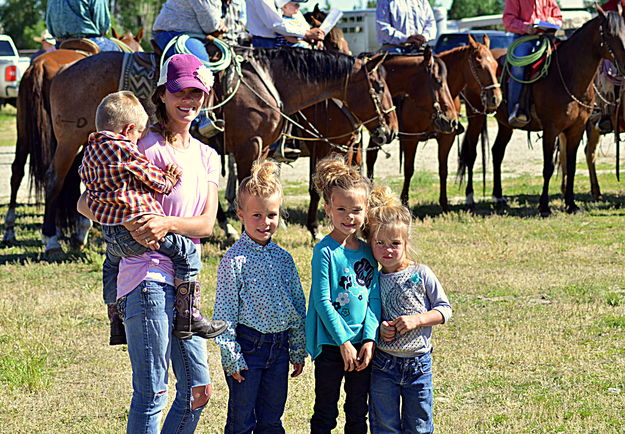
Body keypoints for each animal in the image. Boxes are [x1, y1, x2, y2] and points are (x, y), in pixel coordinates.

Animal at [3, 30, 143, 248]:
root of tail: (40, 64)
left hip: (24, 128)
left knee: (17, 170)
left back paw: (11, 230)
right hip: (65, 139)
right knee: (54, 177)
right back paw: (52, 238)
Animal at [42, 46, 394, 258]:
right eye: (378, 87)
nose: (389, 130)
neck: (269, 82)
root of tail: (63, 70)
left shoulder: (262, 148)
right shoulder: (251, 144)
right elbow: (251, 189)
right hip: (69, 140)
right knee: (54, 181)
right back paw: (51, 241)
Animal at [456, 5, 624, 216]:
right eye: (609, 33)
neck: (567, 74)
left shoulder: (576, 128)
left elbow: (571, 166)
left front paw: (571, 204)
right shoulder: (551, 129)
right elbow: (548, 168)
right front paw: (544, 207)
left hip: (505, 124)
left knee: (497, 152)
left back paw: (498, 197)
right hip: (476, 117)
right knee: (471, 154)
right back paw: (470, 199)